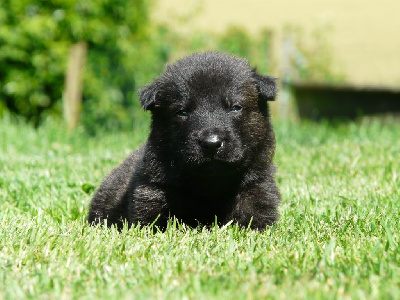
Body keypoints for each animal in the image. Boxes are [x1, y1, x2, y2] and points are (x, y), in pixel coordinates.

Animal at [89, 51, 280, 231]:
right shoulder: (153, 192)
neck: (210, 185)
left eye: (235, 108)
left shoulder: (257, 189)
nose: (211, 143)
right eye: (182, 112)